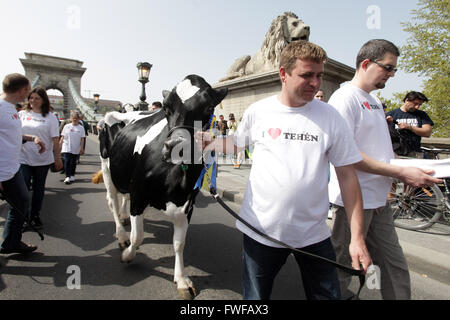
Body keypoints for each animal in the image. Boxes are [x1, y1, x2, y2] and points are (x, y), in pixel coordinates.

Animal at [98, 74, 225, 298]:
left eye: (209, 107)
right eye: (166, 108)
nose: (176, 147)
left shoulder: (187, 203)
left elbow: (179, 243)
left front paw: (181, 279)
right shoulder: (139, 193)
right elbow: (137, 236)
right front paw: (127, 255)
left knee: (123, 197)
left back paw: (123, 217)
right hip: (107, 167)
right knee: (112, 200)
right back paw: (121, 234)